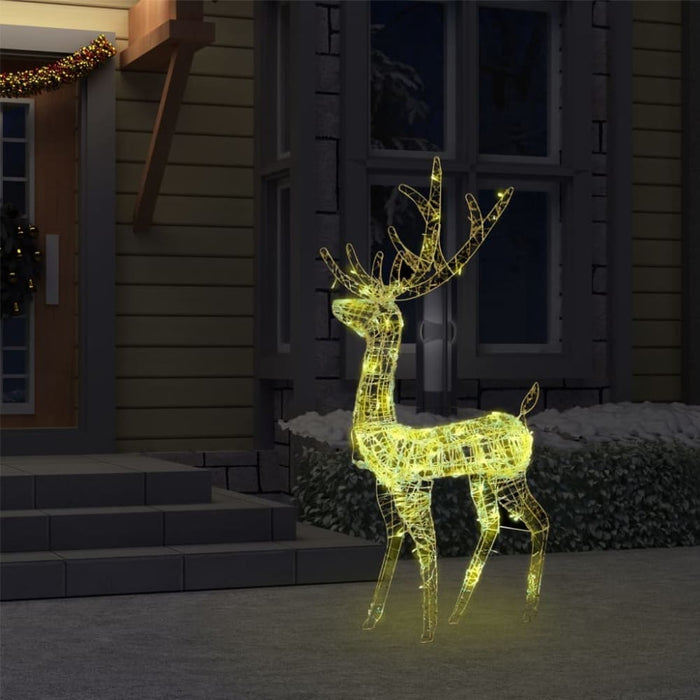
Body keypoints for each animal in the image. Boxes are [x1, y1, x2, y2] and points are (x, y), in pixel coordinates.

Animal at [319, 157, 549, 643]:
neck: (379, 425)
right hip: (482, 479)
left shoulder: (412, 488)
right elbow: (392, 548)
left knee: (538, 520)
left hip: (509, 476)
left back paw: (527, 615)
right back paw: (462, 615)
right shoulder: (385, 491)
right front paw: (372, 620)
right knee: (492, 525)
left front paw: (426, 634)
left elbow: (428, 549)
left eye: (373, 308)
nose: (336, 305)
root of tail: (524, 419)